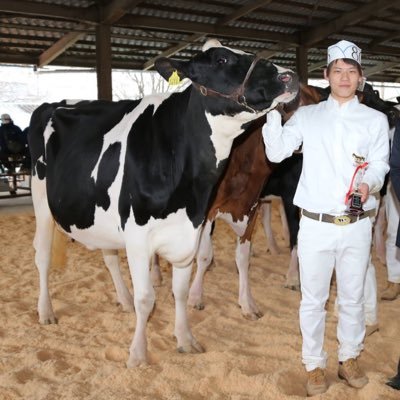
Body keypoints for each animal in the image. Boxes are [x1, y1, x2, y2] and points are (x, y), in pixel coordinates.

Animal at [29, 39, 298, 368]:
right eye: (221, 59)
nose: (289, 76)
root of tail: (53, 104)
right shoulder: (138, 237)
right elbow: (147, 298)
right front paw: (137, 354)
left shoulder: (191, 228)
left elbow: (179, 291)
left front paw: (185, 340)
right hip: (41, 201)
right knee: (42, 256)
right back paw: (46, 311)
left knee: (108, 256)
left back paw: (123, 300)